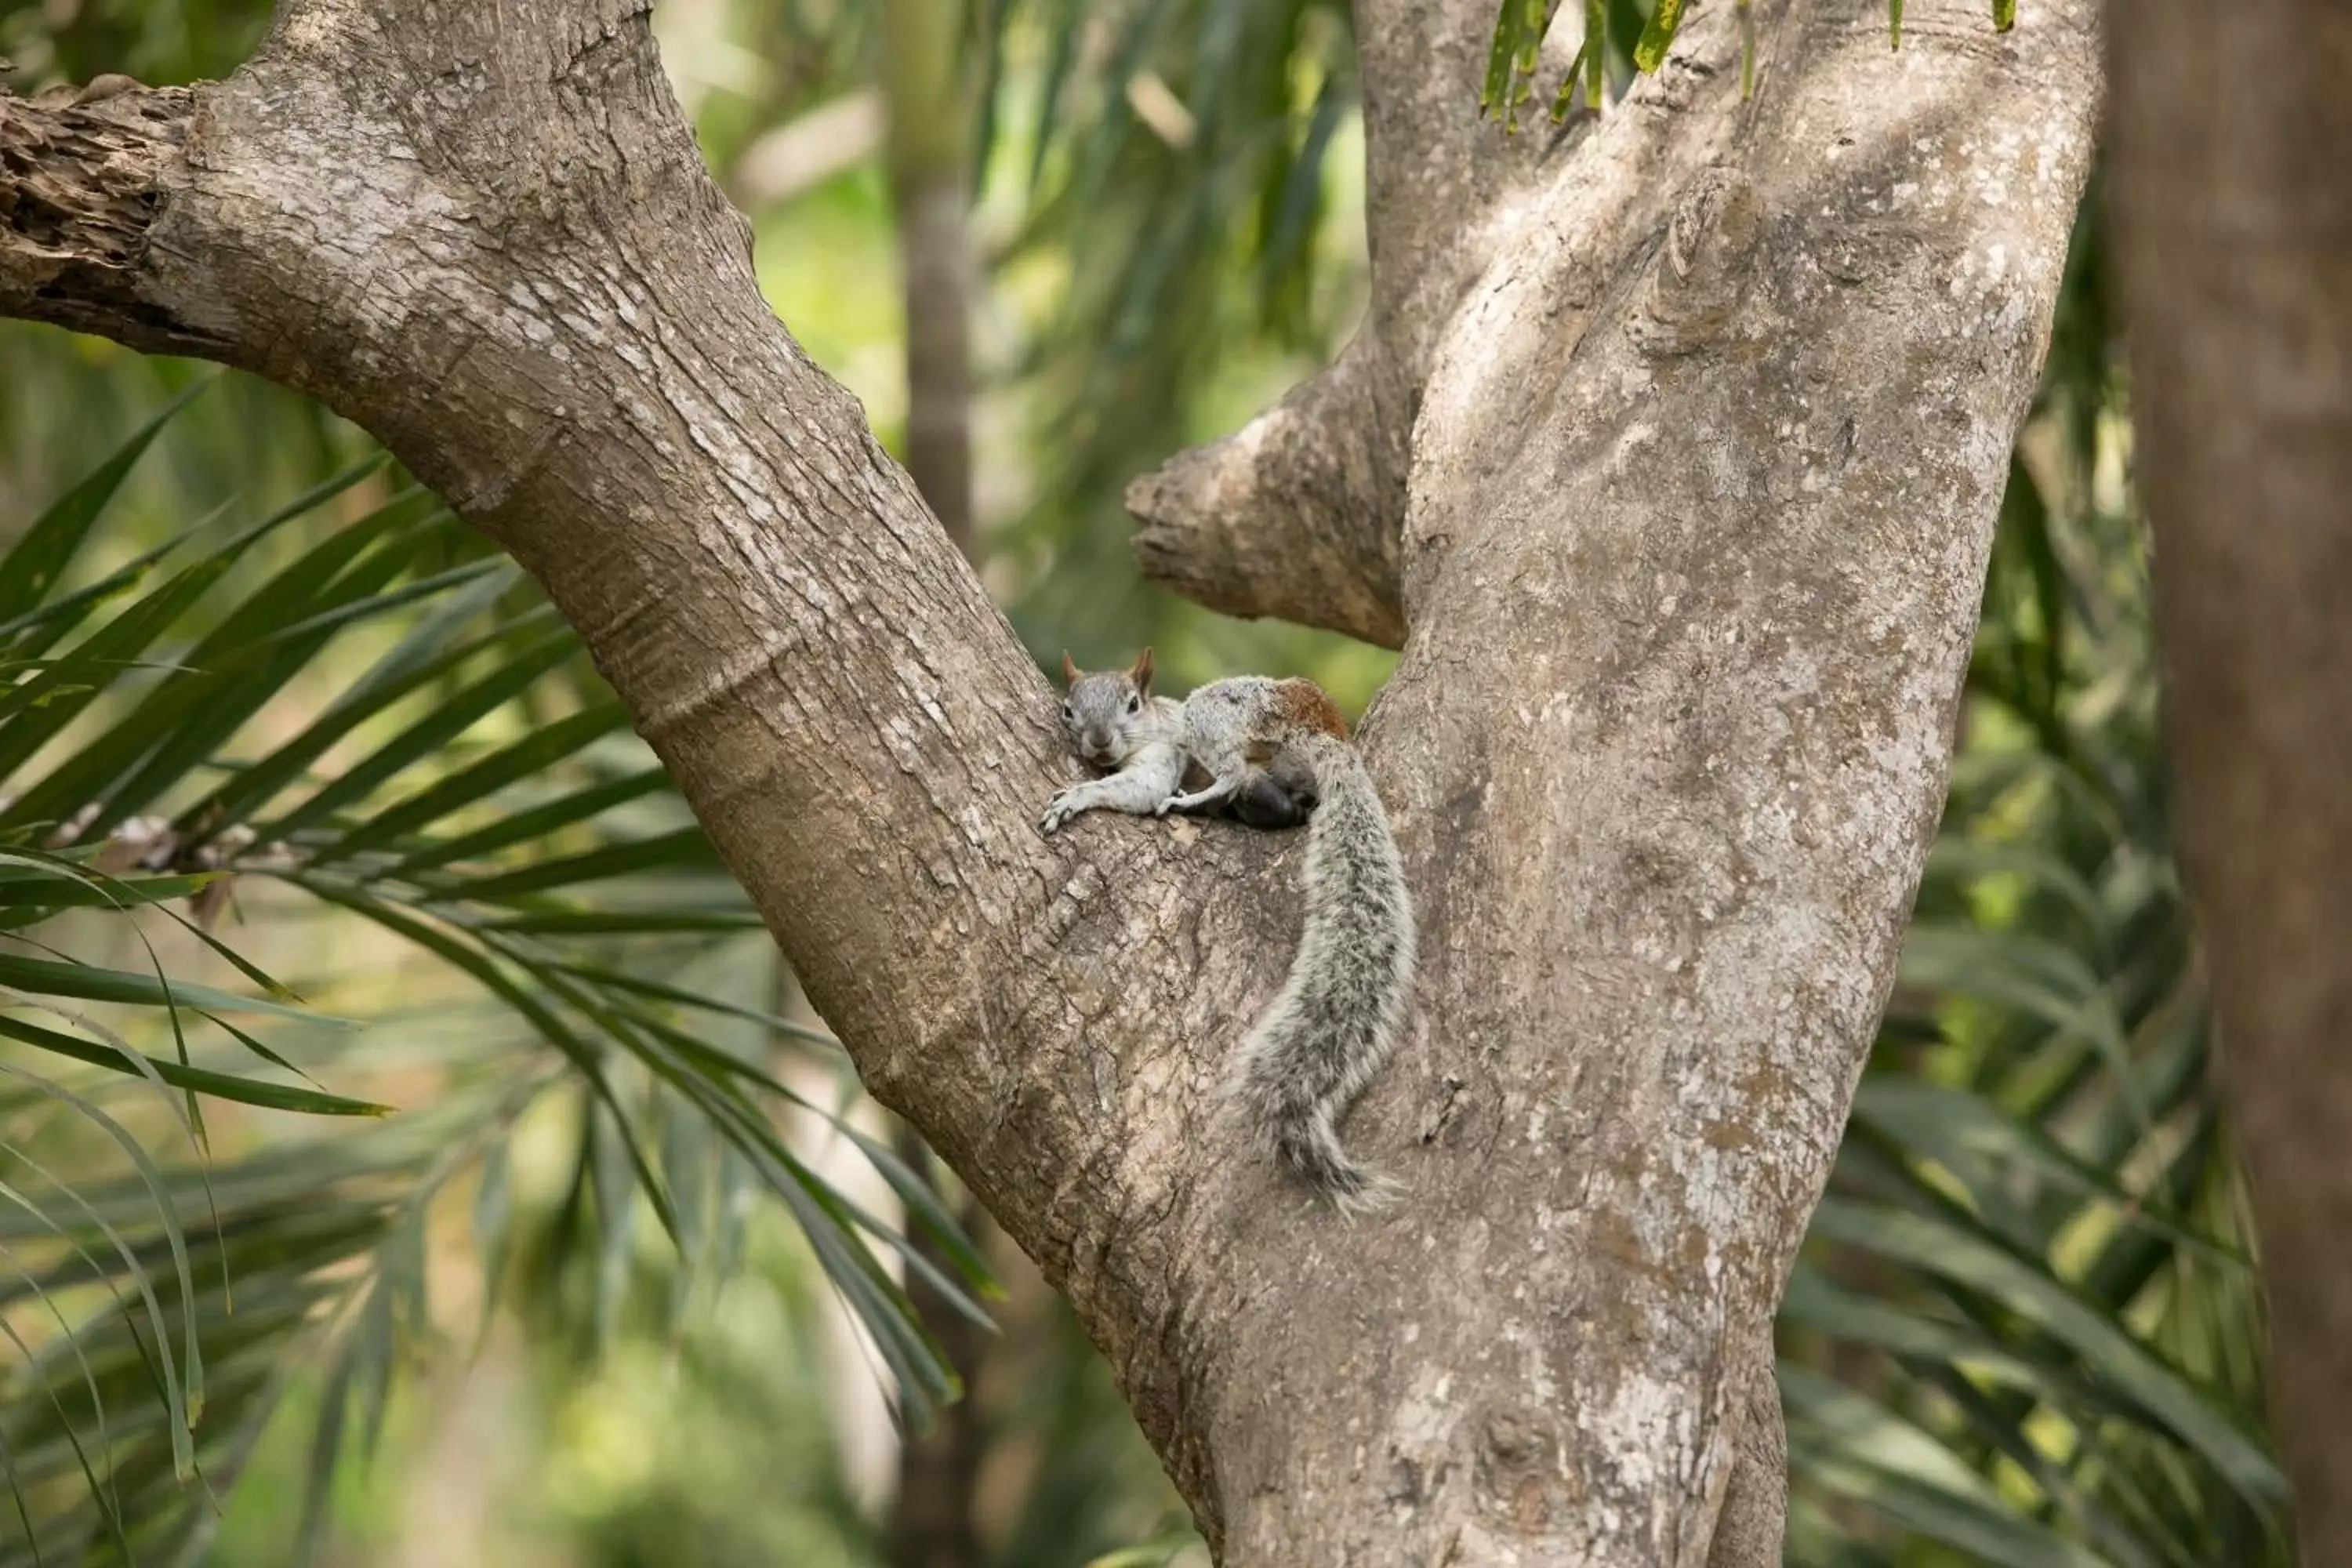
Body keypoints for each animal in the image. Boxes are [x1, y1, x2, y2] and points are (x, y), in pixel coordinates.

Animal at [1044, 648, 1411, 1213]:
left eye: (1131, 704)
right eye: (1068, 710)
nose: (1099, 741)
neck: (1151, 723)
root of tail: (1322, 723)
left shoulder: (1167, 750)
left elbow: (1138, 787)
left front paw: (1079, 796)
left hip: (1224, 711)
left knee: (1234, 770)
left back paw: (1199, 800)